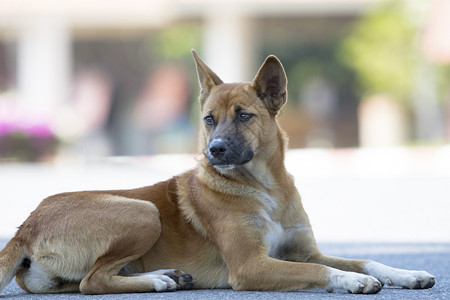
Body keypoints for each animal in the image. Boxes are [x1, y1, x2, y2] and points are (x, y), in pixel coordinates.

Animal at [0, 50, 436, 294]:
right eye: (209, 119)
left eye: (244, 116)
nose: (215, 151)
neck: (266, 189)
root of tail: (24, 227)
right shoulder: (250, 266)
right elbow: (320, 270)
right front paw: (349, 281)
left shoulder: (302, 249)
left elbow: (364, 260)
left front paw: (408, 274)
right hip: (142, 211)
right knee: (93, 281)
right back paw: (158, 280)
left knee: (87, 280)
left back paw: (169, 276)